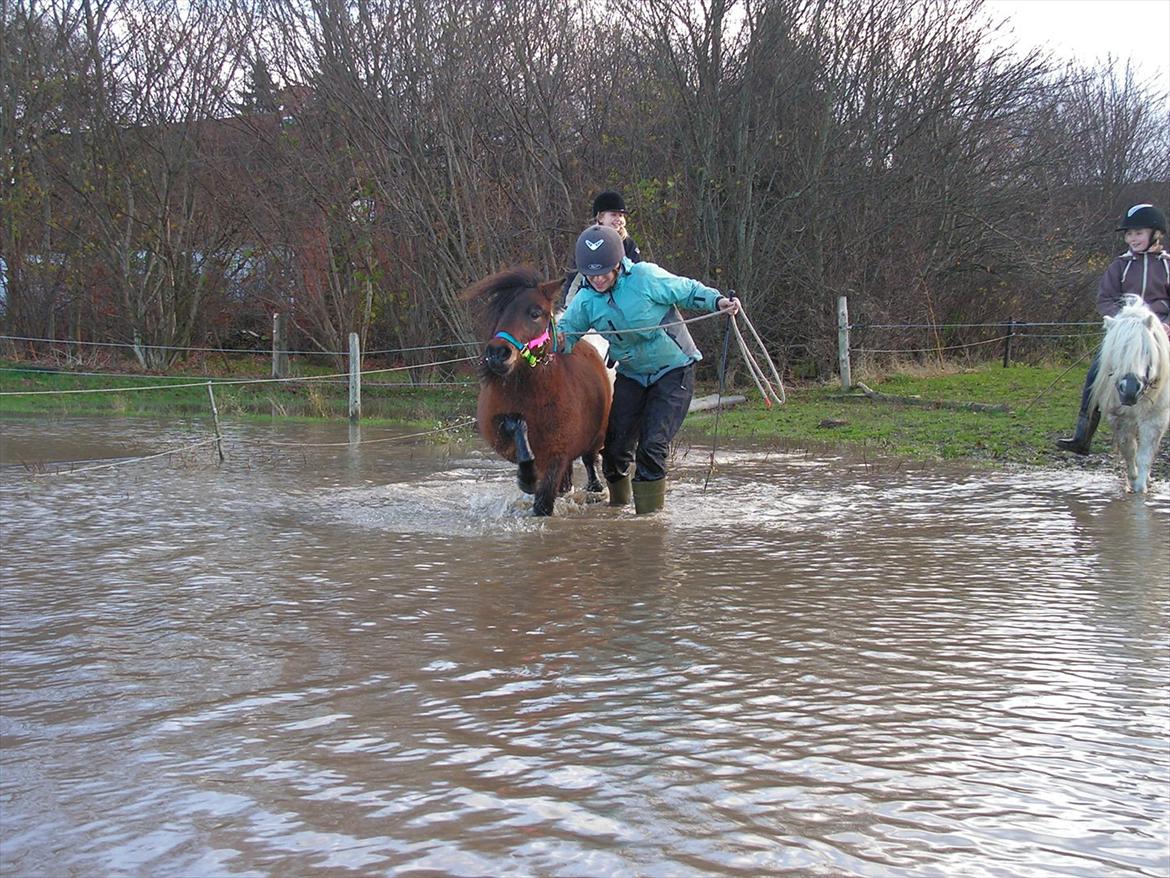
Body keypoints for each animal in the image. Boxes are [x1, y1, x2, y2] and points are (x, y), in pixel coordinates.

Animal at [463, 266, 617, 515]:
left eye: (536, 313)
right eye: (500, 310)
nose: (498, 353)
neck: (533, 393)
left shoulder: (556, 454)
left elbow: (543, 505)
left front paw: (531, 479)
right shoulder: (499, 429)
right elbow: (515, 427)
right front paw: (527, 475)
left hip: (595, 438)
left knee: (589, 461)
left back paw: (594, 490)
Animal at [1085, 297, 1170, 496]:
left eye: (1146, 351)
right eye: (1117, 351)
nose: (1130, 389)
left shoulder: (1155, 419)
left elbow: (1145, 455)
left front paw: (1141, 488)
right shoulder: (1119, 418)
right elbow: (1129, 451)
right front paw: (1132, 481)